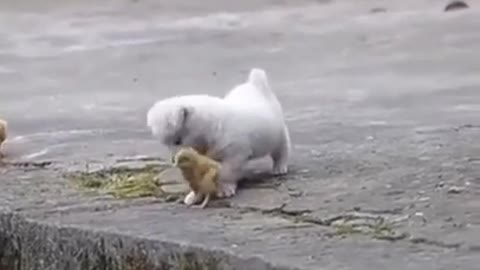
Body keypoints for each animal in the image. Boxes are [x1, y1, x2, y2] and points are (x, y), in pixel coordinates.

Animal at [147, 68, 288, 206]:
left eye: (177, 141)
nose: (173, 160)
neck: (211, 127)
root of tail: (255, 84)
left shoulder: (234, 154)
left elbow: (226, 173)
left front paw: (224, 188)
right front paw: (194, 195)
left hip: (278, 134)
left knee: (281, 149)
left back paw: (280, 167)